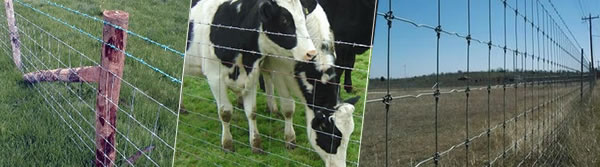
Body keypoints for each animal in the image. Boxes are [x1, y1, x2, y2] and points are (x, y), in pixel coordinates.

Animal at [186, 0, 318, 153]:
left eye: (304, 16)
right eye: (284, 20)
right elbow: (225, 112)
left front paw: (255, 143)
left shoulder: (253, 75)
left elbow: (252, 112)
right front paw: (227, 144)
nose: (311, 53)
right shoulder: (214, 77)